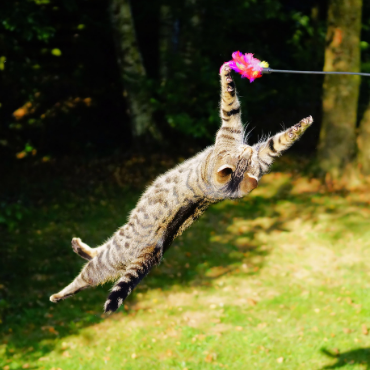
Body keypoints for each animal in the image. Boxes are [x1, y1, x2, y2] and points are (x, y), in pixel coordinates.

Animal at [49, 63, 312, 312]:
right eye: (244, 155)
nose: (247, 149)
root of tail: (155, 250)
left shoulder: (231, 131)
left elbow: (230, 102)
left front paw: (227, 74)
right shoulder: (261, 156)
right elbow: (277, 142)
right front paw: (303, 125)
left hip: (113, 253)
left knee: (86, 278)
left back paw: (58, 294)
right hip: (118, 253)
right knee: (98, 258)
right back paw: (78, 247)